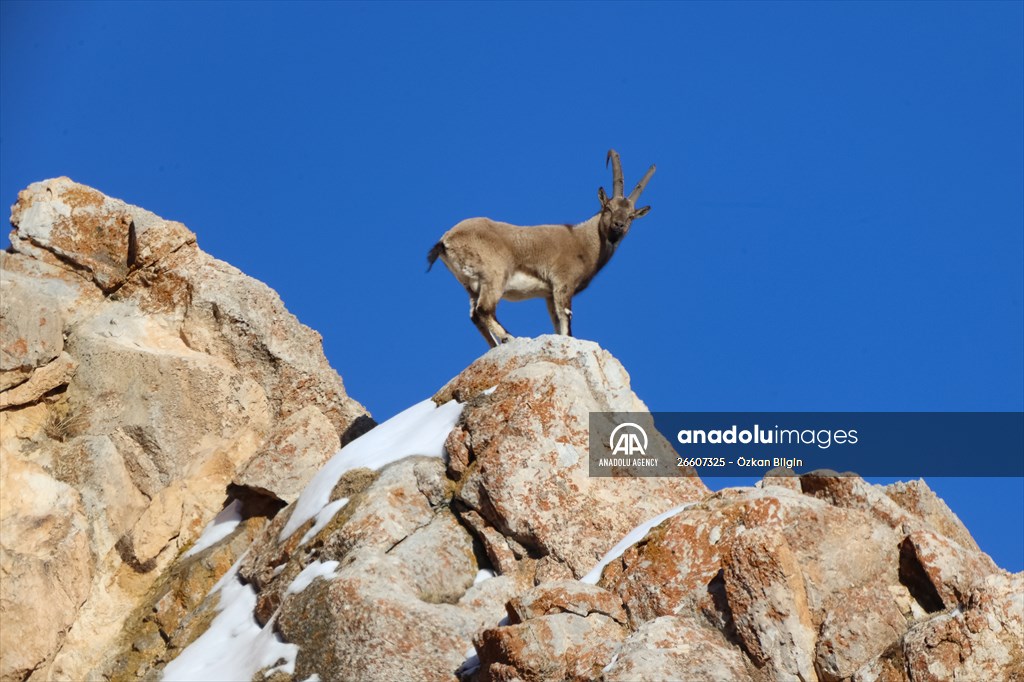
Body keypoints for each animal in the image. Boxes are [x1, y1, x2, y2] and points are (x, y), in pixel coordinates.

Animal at [427, 150, 655, 347]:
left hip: (471, 285)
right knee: (484, 309)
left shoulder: (549, 294)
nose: (618, 225)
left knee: (475, 315)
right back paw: (510, 338)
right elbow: (566, 322)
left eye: (631, 216)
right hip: (495, 275)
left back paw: (495, 346)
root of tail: (446, 239)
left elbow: (557, 323)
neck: (585, 240)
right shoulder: (563, 283)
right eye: (608, 207)